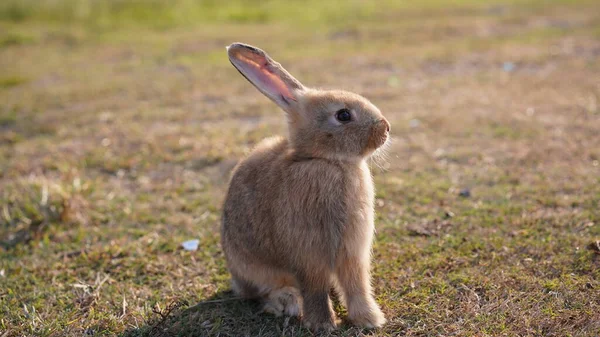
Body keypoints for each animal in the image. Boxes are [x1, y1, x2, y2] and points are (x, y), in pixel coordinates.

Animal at [220, 42, 390, 330]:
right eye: (343, 114)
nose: (386, 128)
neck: (328, 161)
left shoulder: (352, 251)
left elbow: (356, 285)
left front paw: (370, 320)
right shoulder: (309, 253)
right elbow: (315, 288)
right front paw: (323, 325)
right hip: (255, 269)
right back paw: (286, 302)